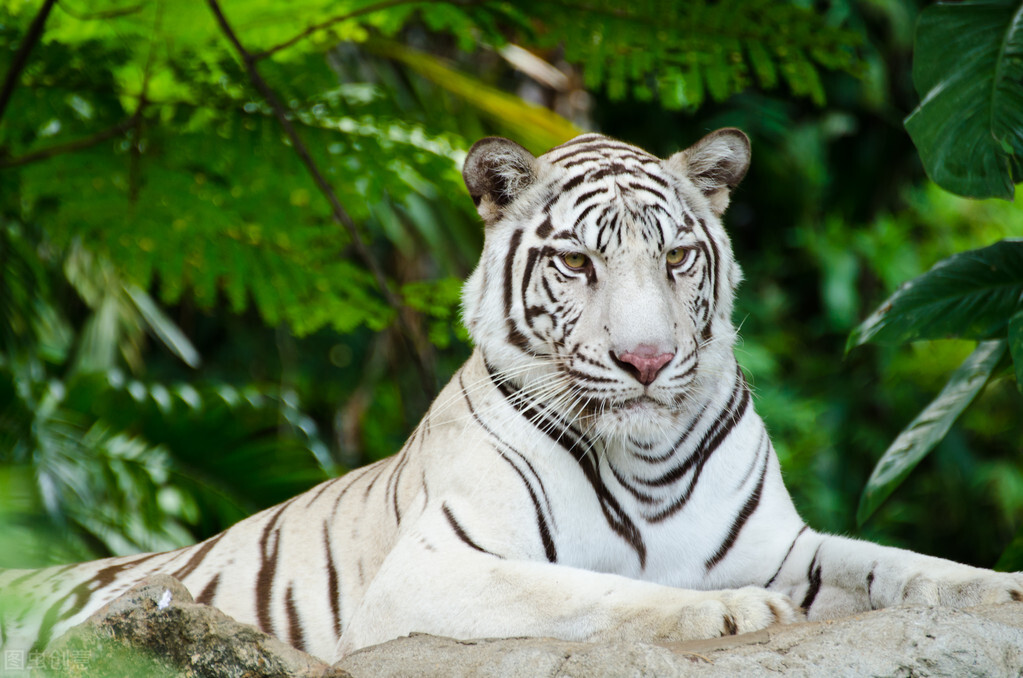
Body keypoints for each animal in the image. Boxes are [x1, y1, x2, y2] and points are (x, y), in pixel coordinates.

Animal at [1, 128, 1023, 662]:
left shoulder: (782, 544)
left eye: (677, 256)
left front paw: (998, 586)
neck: (645, 456)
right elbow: (594, 587)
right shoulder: (436, 567)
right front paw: (726, 612)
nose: (646, 360)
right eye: (576, 263)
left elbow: (898, 564)